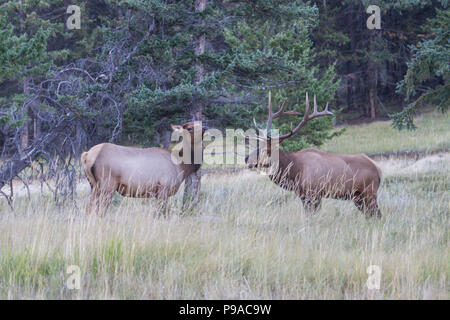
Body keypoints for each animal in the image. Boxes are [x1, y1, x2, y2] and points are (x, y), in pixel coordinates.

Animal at [246, 92, 384, 218]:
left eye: (267, 150)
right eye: (257, 145)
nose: (247, 158)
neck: (294, 172)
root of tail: (378, 170)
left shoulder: (313, 193)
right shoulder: (303, 195)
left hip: (369, 193)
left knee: (378, 215)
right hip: (358, 197)